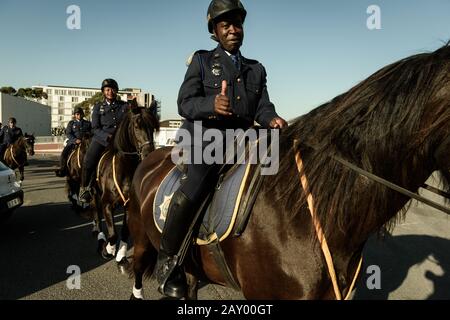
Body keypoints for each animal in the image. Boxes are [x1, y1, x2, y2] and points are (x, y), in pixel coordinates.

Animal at [93, 106, 160, 264]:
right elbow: (113, 234)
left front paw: (121, 255)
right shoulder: (106, 203)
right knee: (97, 217)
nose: (149, 154)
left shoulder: (129, 205)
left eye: (153, 128)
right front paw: (108, 250)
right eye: (136, 126)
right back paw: (101, 241)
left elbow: (124, 231)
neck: (124, 169)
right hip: (95, 194)